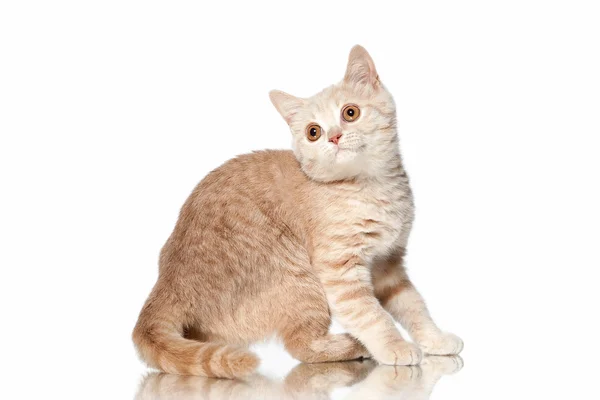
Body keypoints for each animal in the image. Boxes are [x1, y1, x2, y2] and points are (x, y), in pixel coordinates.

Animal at [132, 45, 464, 380]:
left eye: (350, 113)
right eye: (313, 132)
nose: (334, 137)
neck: (373, 188)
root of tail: (166, 285)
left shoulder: (388, 263)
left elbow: (413, 305)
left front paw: (435, 338)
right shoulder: (339, 270)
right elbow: (371, 314)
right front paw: (393, 346)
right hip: (299, 277)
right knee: (301, 346)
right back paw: (352, 346)